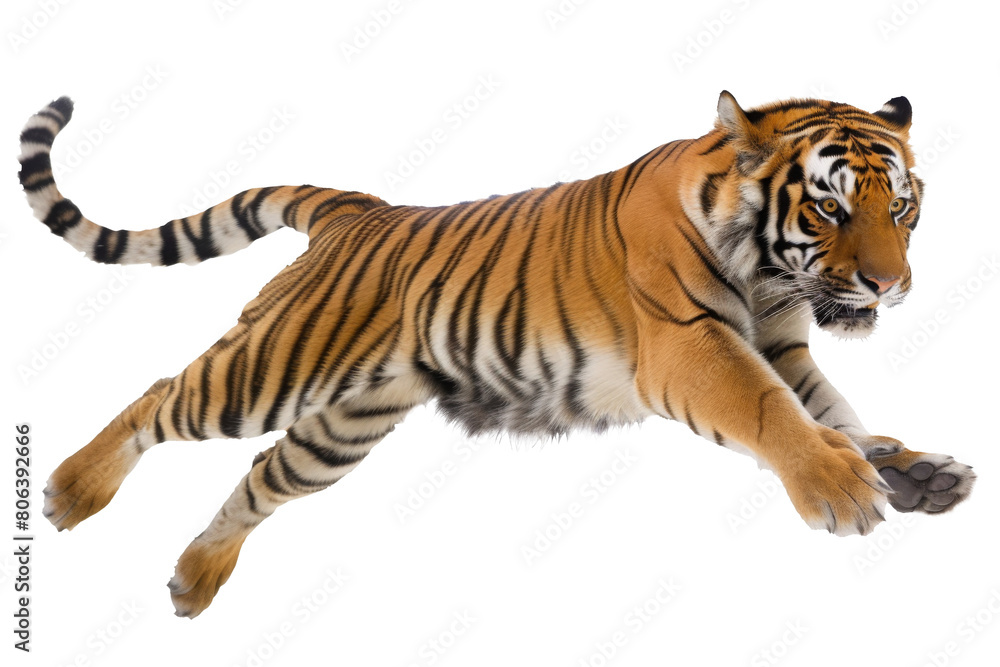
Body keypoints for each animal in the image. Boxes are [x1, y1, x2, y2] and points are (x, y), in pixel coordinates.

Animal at [18, 92, 975, 618]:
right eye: (829, 207)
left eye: (902, 208)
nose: (890, 286)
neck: (773, 276)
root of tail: (359, 208)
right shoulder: (691, 344)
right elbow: (775, 411)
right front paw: (842, 485)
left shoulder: (783, 344)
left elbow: (836, 411)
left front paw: (912, 469)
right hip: (275, 368)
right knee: (159, 394)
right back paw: (71, 490)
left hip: (344, 425)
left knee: (262, 475)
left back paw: (194, 578)